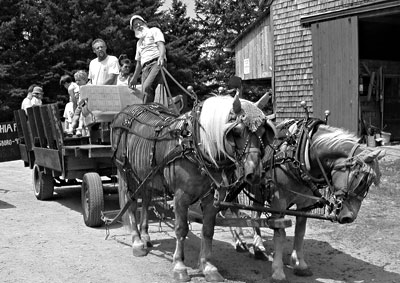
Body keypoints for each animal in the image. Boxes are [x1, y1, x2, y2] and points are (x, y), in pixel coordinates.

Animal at [111, 95, 276, 282]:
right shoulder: (181, 197)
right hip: (125, 172)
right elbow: (181, 229)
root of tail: (126, 111)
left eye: (263, 133)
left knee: (145, 201)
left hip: (146, 176)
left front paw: (207, 266)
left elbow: (208, 230)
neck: (196, 147)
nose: (254, 173)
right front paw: (179, 266)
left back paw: (145, 237)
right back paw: (137, 242)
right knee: (131, 204)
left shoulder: (211, 199)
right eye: (237, 132)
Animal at [228, 118, 384, 282]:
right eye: (360, 181)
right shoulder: (278, 202)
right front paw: (278, 271)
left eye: (369, 185)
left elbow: (300, 232)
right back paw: (240, 241)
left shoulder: (304, 203)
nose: (349, 217)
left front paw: (299, 264)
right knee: (232, 210)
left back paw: (258, 247)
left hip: (259, 190)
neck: (299, 155)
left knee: (254, 215)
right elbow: (280, 234)